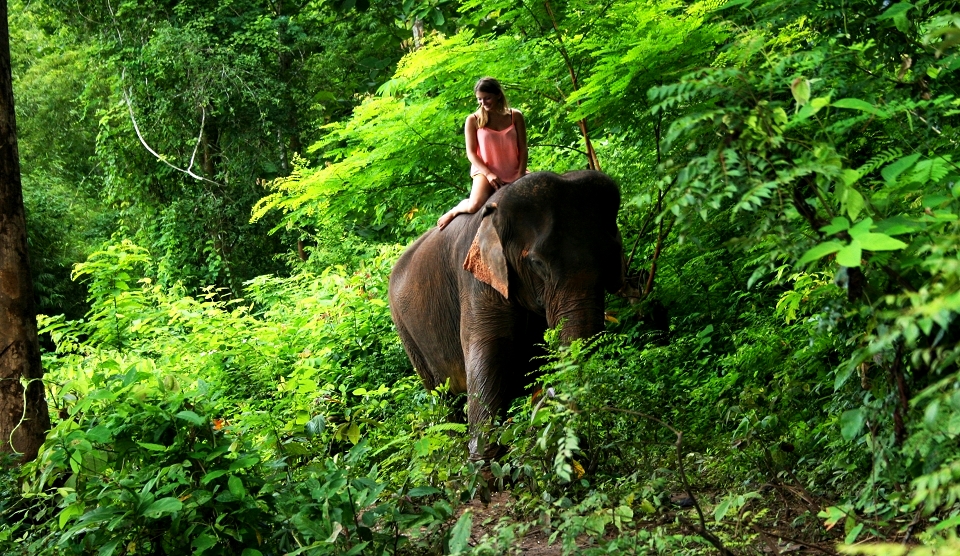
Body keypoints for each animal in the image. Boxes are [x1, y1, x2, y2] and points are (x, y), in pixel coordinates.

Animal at [388, 169, 624, 456]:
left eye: (611, 255)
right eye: (537, 263)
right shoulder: (476, 281)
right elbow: (487, 354)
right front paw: (483, 458)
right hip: (407, 334)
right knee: (443, 398)